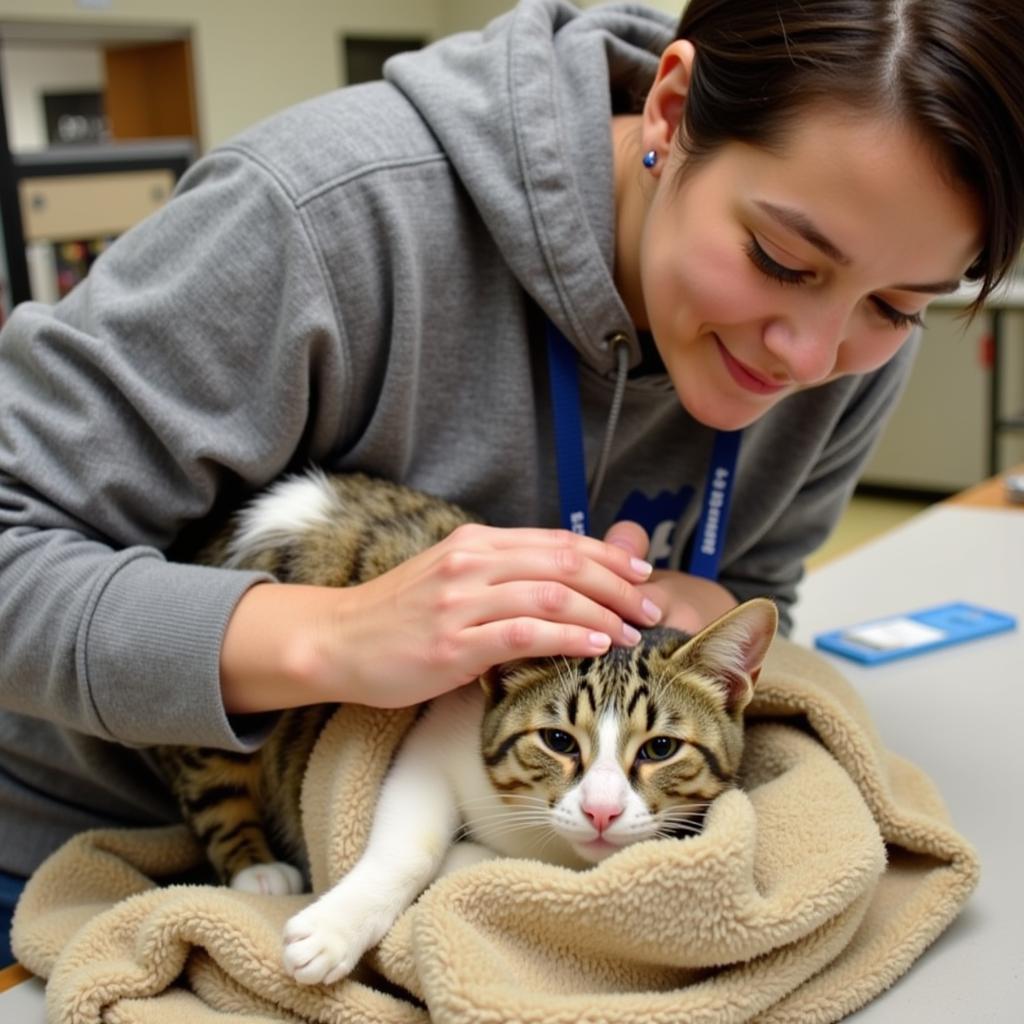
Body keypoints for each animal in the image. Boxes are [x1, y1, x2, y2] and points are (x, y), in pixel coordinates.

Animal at [155, 468, 774, 983]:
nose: (602, 812)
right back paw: (256, 868)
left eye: (660, 748)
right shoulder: (430, 741)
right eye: (557, 740)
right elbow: (413, 845)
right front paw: (334, 928)